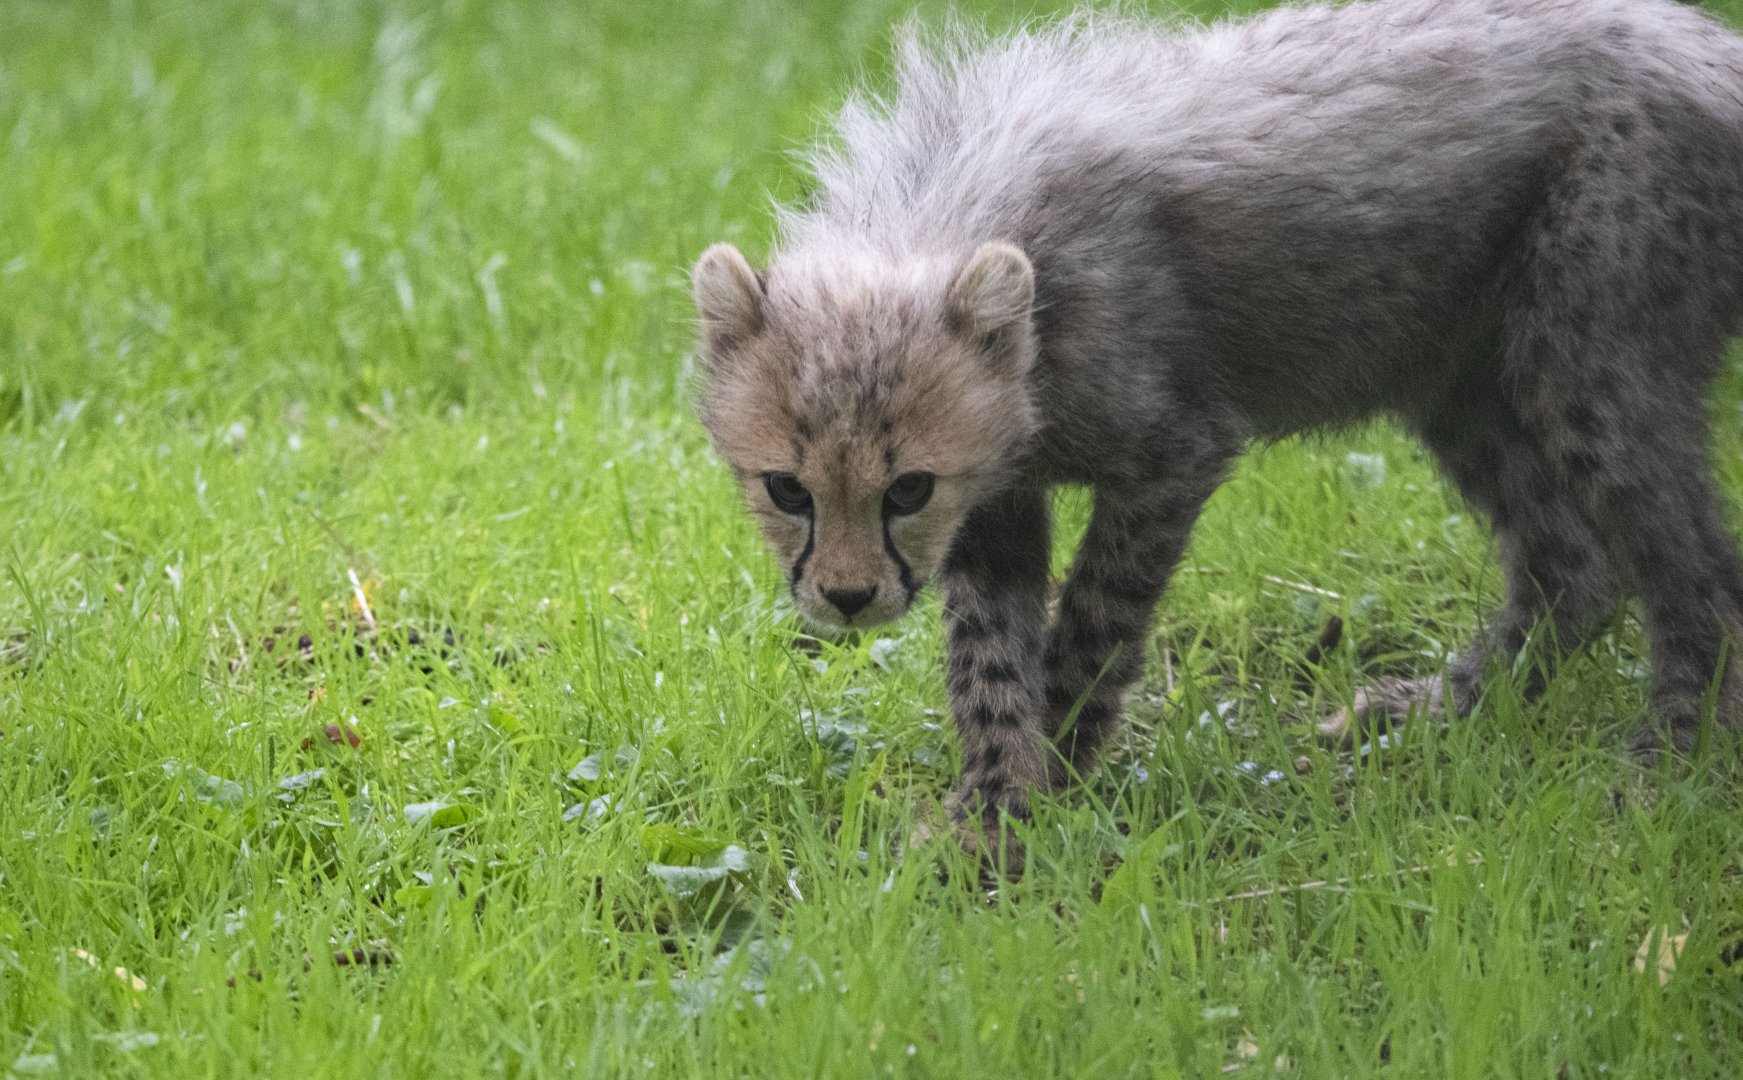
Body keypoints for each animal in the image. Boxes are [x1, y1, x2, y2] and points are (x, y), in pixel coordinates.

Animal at [690, 0, 1743, 861]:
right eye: (788, 489)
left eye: (906, 489)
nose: (847, 598)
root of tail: (1702, 42)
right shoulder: (996, 491)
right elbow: (988, 657)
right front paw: (989, 810)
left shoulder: (1172, 452)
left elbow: (1091, 626)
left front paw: (1054, 778)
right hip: (1453, 379)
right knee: (1574, 566)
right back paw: (1430, 715)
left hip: (1585, 358)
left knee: (1696, 578)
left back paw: (1663, 765)